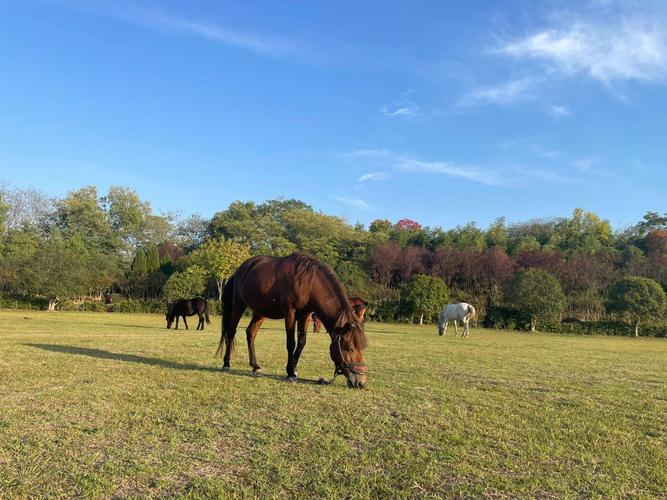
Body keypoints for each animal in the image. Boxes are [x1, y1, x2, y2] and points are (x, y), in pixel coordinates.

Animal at [215, 252, 368, 388]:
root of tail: (240, 270)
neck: (308, 282)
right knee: (231, 331)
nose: (360, 382)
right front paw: (290, 374)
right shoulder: (290, 313)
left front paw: (293, 369)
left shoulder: (305, 315)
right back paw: (226, 363)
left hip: (260, 312)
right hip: (238, 306)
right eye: (350, 348)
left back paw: (255, 365)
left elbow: (301, 342)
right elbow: (291, 342)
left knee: (251, 332)